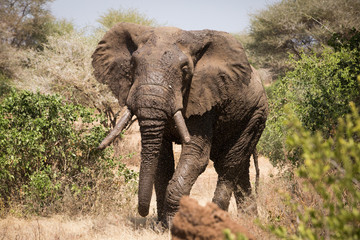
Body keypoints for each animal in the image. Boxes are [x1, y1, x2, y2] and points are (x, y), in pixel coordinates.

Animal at [91, 21, 268, 226]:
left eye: (184, 70)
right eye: (132, 65)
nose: (143, 212)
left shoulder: (203, 98)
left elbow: (196, 155)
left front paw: (172, 225)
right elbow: (162, 160)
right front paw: (161, 225)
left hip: (255, 115)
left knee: (229, 164)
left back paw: (218, 220)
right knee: (240, 168)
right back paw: (249, 221)